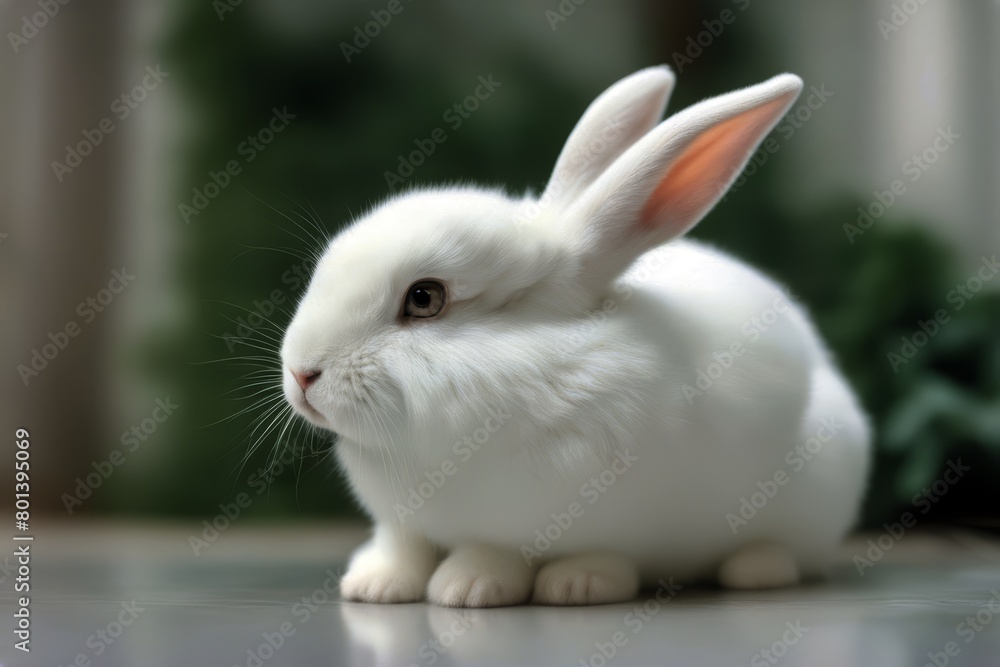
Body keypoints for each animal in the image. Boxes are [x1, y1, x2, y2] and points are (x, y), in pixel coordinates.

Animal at [280, 65, 868, 608]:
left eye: (425, 299)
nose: (302, 374)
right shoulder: (403, 523)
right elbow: (403, 546)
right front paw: (374, 585)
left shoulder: (580, 521)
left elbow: (512, 553)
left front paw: (491, 587)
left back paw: (756, 569)